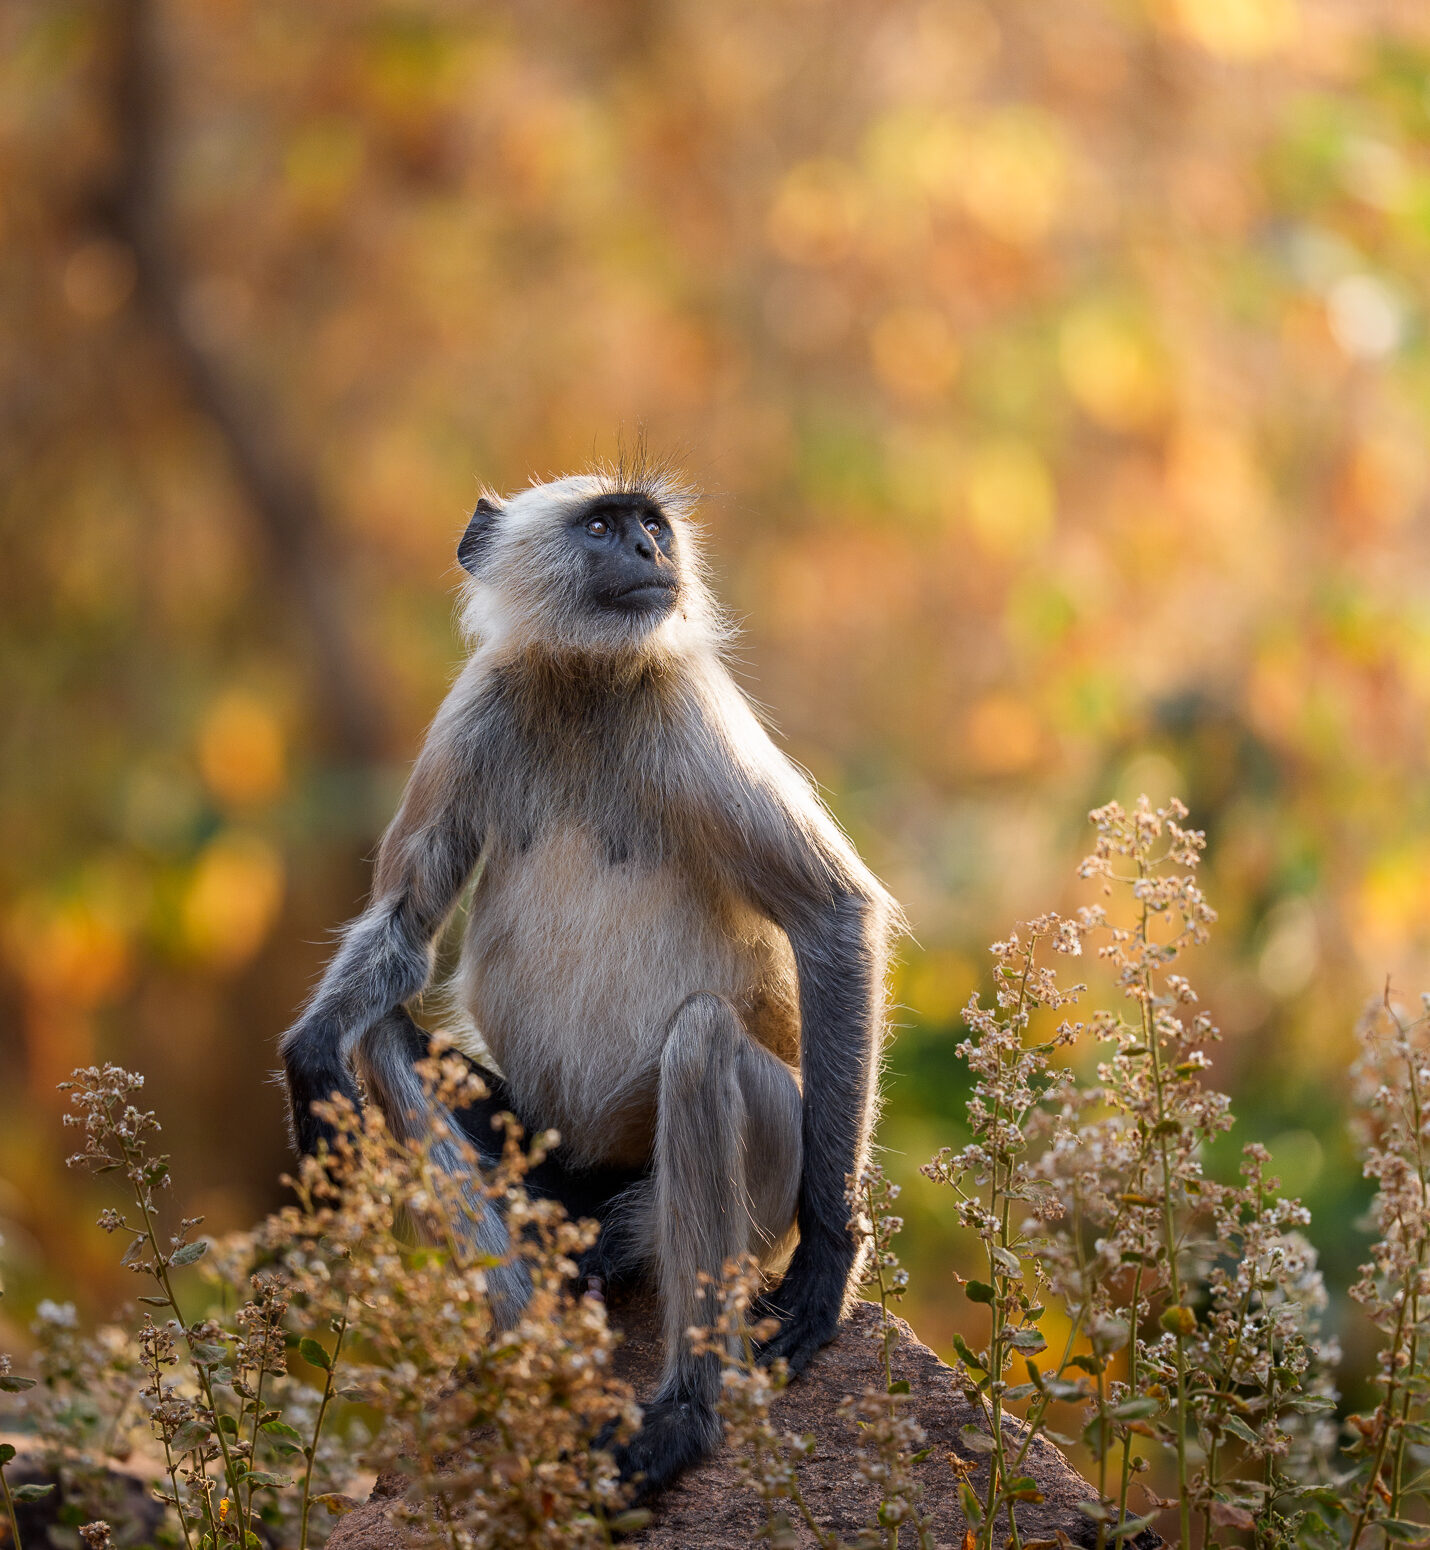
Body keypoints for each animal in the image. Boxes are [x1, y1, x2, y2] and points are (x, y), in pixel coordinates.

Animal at [280, 459, 901, 1497]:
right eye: (605, 527)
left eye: (652, 526)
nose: (651, 550)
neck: (585, 680)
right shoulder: (476, 708)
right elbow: (404, 930)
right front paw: (308, 1055)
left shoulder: (688, 707)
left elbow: (831, 919)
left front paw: (825, 1267)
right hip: (543, 1165)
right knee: (386, 1037)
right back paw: (532, 1358)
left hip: (733, 1179)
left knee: (701, 1043)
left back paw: (683, 1415)